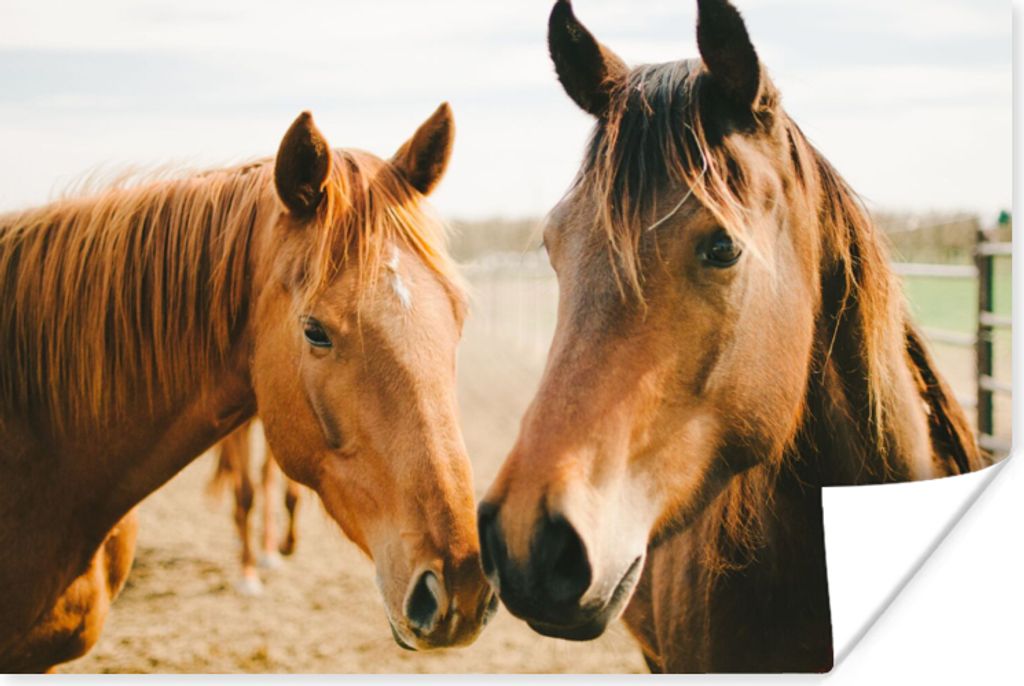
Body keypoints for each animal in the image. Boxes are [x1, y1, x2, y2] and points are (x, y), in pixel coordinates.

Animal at [207, 419, 302, 596]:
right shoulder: (238, 431)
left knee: (266, 477)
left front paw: (287, 546)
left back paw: (269, 549)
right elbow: (245, 496)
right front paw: (248, 576)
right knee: (236, 477)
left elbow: (292, 495)